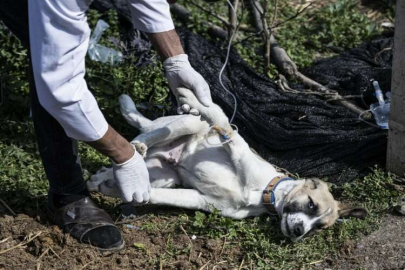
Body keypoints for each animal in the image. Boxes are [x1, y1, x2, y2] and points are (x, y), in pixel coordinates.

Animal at [88, 88, 366, 240]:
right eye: (310, 204)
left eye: (318, 228)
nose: (299, 232)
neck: (264, 192)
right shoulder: (235, 144)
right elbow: (223, 123)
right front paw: (194, 97)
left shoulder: (201, 200)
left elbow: (156, 196)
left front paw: (115, 190)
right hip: (185, 124)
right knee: (147, 135)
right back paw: (140, 145)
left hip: (164, 175)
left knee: (126, 167)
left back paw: (105, 176)